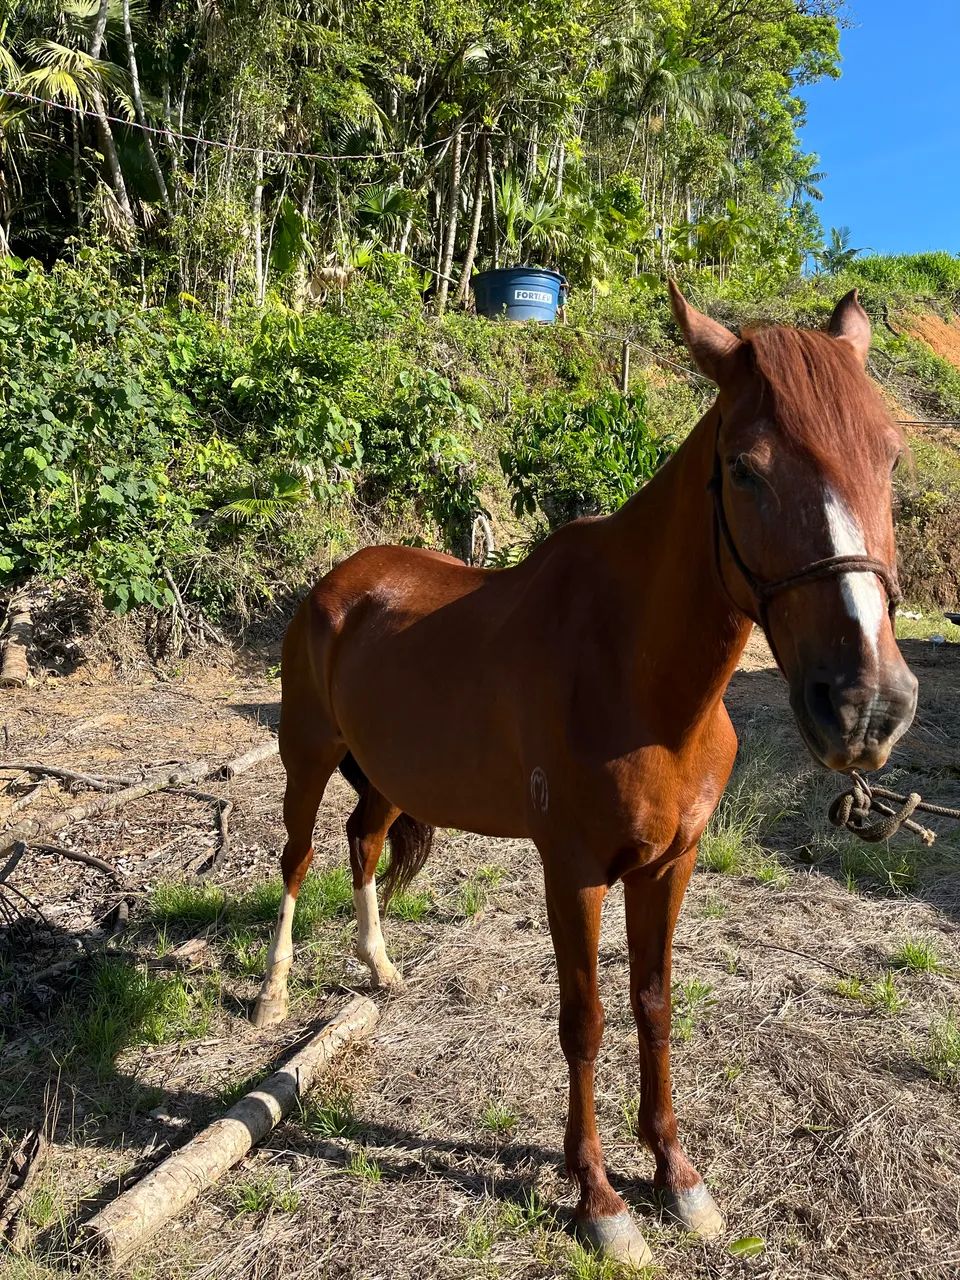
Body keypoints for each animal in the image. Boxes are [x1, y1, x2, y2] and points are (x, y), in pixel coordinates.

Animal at [252, 284, 918, 1265]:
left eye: (890, 461)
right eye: (747, 471)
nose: (867, 706)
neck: (634, 674)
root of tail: (338, 582)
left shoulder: (668, 864)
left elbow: (654, 1005)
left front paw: (676, 1176)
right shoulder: (571, 871)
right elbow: (587, 1019)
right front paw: (598, 1196)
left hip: (385, 776)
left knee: (363, 846)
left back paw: (381, 968)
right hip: (306, 756)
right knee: (297, 860)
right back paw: (272, 992)